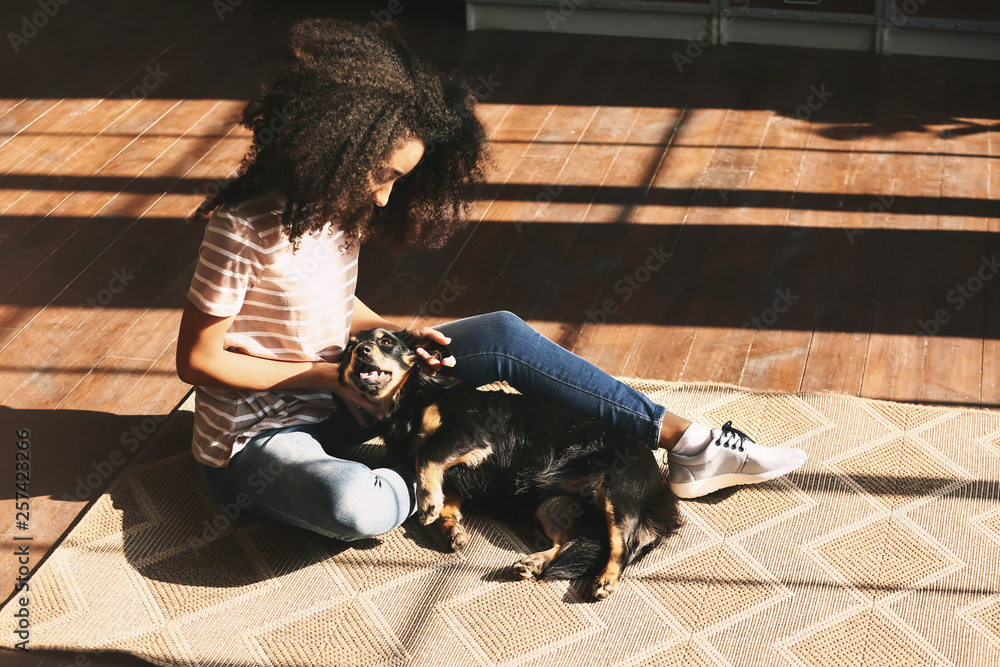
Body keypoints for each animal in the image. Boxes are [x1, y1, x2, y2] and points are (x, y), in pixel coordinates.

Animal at [340, 328, 684, 600]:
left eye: (385, 341)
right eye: (348, 348)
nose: (361, 350)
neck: (411, 398)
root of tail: (659, 486)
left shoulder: (469, 435)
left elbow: (425, 457)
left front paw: (427, 504)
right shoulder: (454, 469)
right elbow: (444, 495)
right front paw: (451, 527)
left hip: (618, 497)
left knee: (621, 547)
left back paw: (605, 581)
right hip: (552, 505)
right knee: (569, 542)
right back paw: (534, 562)